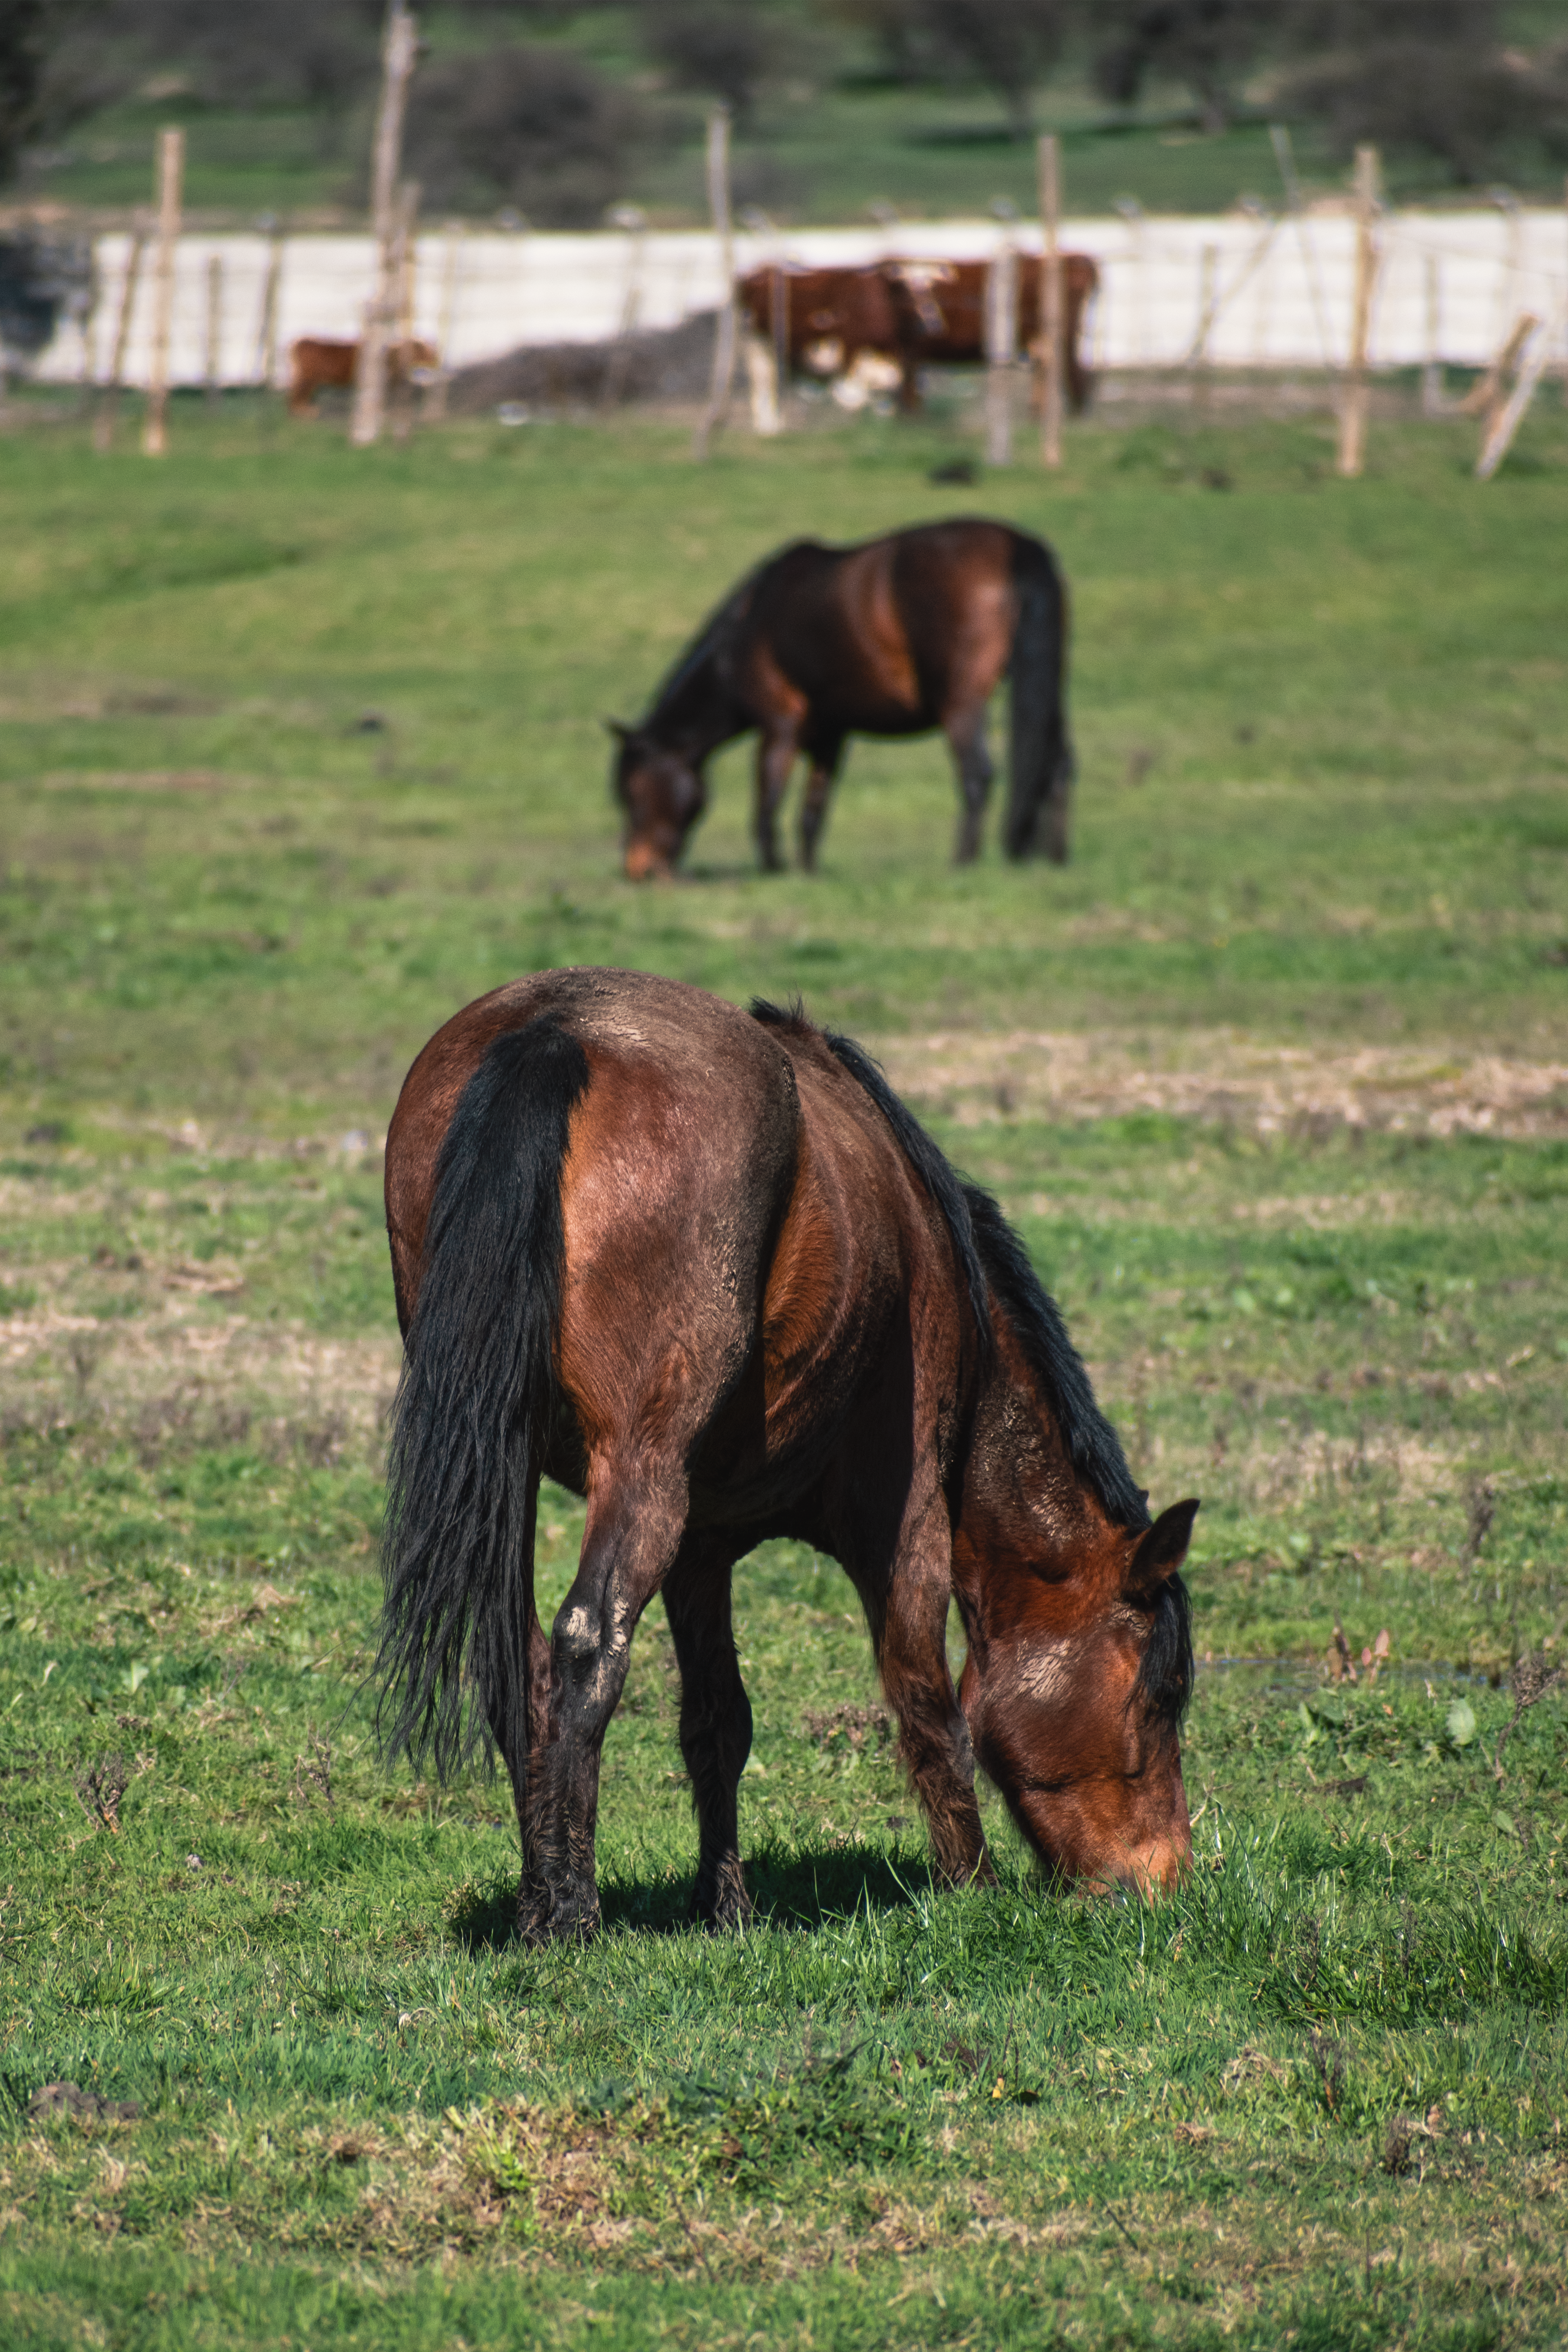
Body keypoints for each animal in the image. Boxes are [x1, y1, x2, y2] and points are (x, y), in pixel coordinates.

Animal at [286, 335, 438, 417]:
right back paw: (303, 412)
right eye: (426, 350)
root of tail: (303, 341)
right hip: (308, 377)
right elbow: (381, 400)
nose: (436, 358)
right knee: (298, 392)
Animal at [378, 968, 1198, 1947]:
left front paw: (723, 1905)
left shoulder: (700, 1547)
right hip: (640, 1469)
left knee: (521, 1664)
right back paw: (570, 1913)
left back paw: (541, 1895)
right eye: (1159, 1697)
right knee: (587, 1643)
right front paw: (971, 1888)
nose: (1163, 1881)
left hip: (511, 1467)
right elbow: (927, 1703)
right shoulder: (903, 1517)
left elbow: (717, 1725)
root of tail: (557, 1028)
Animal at [609, 518, 1073, 880]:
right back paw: (1053, 860)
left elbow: (768, 802)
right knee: (1057, 769)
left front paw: (773, 870)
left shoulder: (780, 726)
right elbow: (813, 810)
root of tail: (1017, 547)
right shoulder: (830, 735)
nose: (637, 870)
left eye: (632, 791)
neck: (747, 626)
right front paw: (807, 873)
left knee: (977, 774)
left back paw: (963, 863)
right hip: (1044, 694)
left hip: (961, 705)